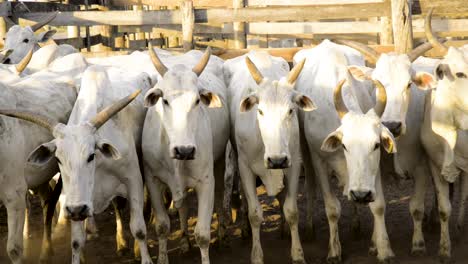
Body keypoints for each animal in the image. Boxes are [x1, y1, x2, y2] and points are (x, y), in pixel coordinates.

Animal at [0, 64, 154, 264]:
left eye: (91, 155)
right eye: (58, 159)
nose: (77, 210)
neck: (99, 167)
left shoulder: (132, 179)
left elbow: (139, 229)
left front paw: (145, 257)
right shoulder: (76, 202)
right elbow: (76, 242)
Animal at [143, 46, 230, 262]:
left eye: (197, 100)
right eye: (165, 100)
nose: (184, 150)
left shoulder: (205, 182)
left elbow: (203, 235)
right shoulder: (152, 180)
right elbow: (162, 226)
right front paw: (163, 258)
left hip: (219, 161)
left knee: (220, 195)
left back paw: (222, 234)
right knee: (182, 208)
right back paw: (183, 241)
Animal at [224, 50, 312, 264]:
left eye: (290, 110)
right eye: (260, 111)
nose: (276, 160)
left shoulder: (293, 165)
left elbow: (292, 210)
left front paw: (297, 253)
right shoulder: (245, 167)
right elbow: (255, 214)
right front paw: (256, 255)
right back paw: (246, 230)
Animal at [294, 40, 396, 262]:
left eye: (376, 145)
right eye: (345, 145)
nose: (361, 194)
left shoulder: (372, 170)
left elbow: (378, 206)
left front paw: (383, 249)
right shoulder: (318, 159)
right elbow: (332, 209)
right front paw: (334, 251)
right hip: (305, 153)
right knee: (310, 186)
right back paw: (309, 228)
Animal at [336, 39, 438, 256]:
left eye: (409, 84)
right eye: (376, 83)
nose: (392, 125)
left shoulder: (421, 168)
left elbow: (416, 207)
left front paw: (418, 244)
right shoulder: (376, 168)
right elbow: (378, 206)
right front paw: (377, 244)